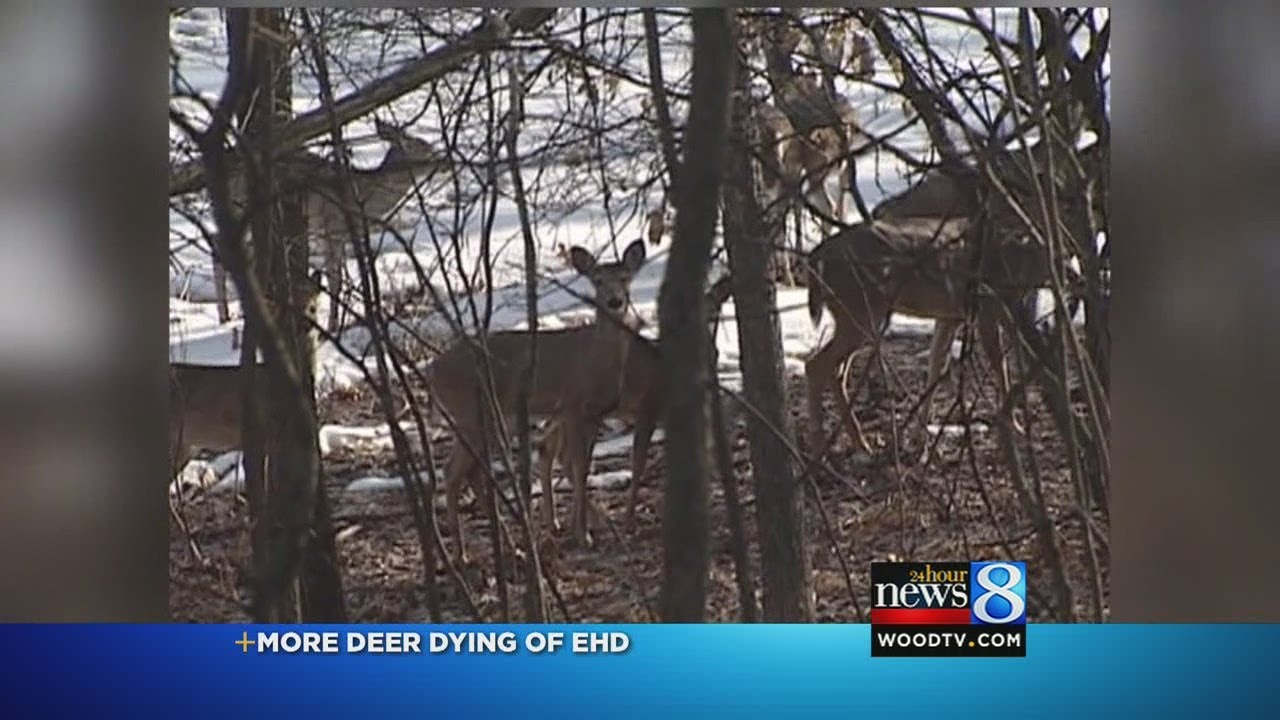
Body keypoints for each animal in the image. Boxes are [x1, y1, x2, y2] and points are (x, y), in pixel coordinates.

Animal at [212, 118, 439, 333]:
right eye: (422, 147)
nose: (440, 159)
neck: (361, 194)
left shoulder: (342, 236)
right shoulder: (331, 229)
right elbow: (335, 282)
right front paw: (332, 326)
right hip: (241, 208)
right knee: (220, 246)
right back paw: (225, 316)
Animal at [424, 240, 649, 562]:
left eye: (625, 278)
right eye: (597, 280)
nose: (615, 301)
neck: (596, 360)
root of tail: (432, 370)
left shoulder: (595, 415)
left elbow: (582, 467)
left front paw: (581, 528)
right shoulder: (571, 405)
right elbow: (577, 467)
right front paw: (583, 535)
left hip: (485, 419)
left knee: (470, 471)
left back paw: (507, 546)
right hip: (471, 413)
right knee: (454, 472)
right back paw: (462, 554)